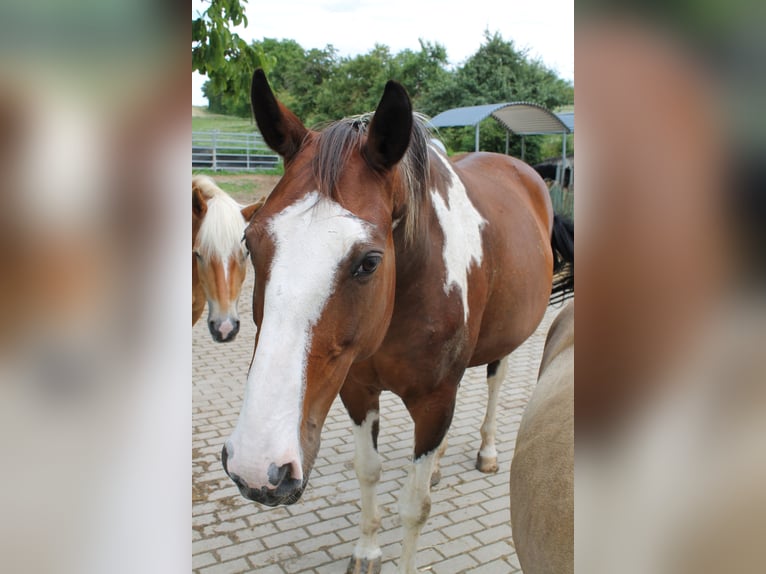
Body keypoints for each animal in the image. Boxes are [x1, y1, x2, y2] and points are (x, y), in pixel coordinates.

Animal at [222, 72, 576, 574]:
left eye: (369, 261)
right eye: (250, 244)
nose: (257, 466)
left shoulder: (433, 402)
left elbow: (415, 507)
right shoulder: (357, 390)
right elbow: (368, 472)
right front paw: (367, 550)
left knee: (495, 381)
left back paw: (487, 451)